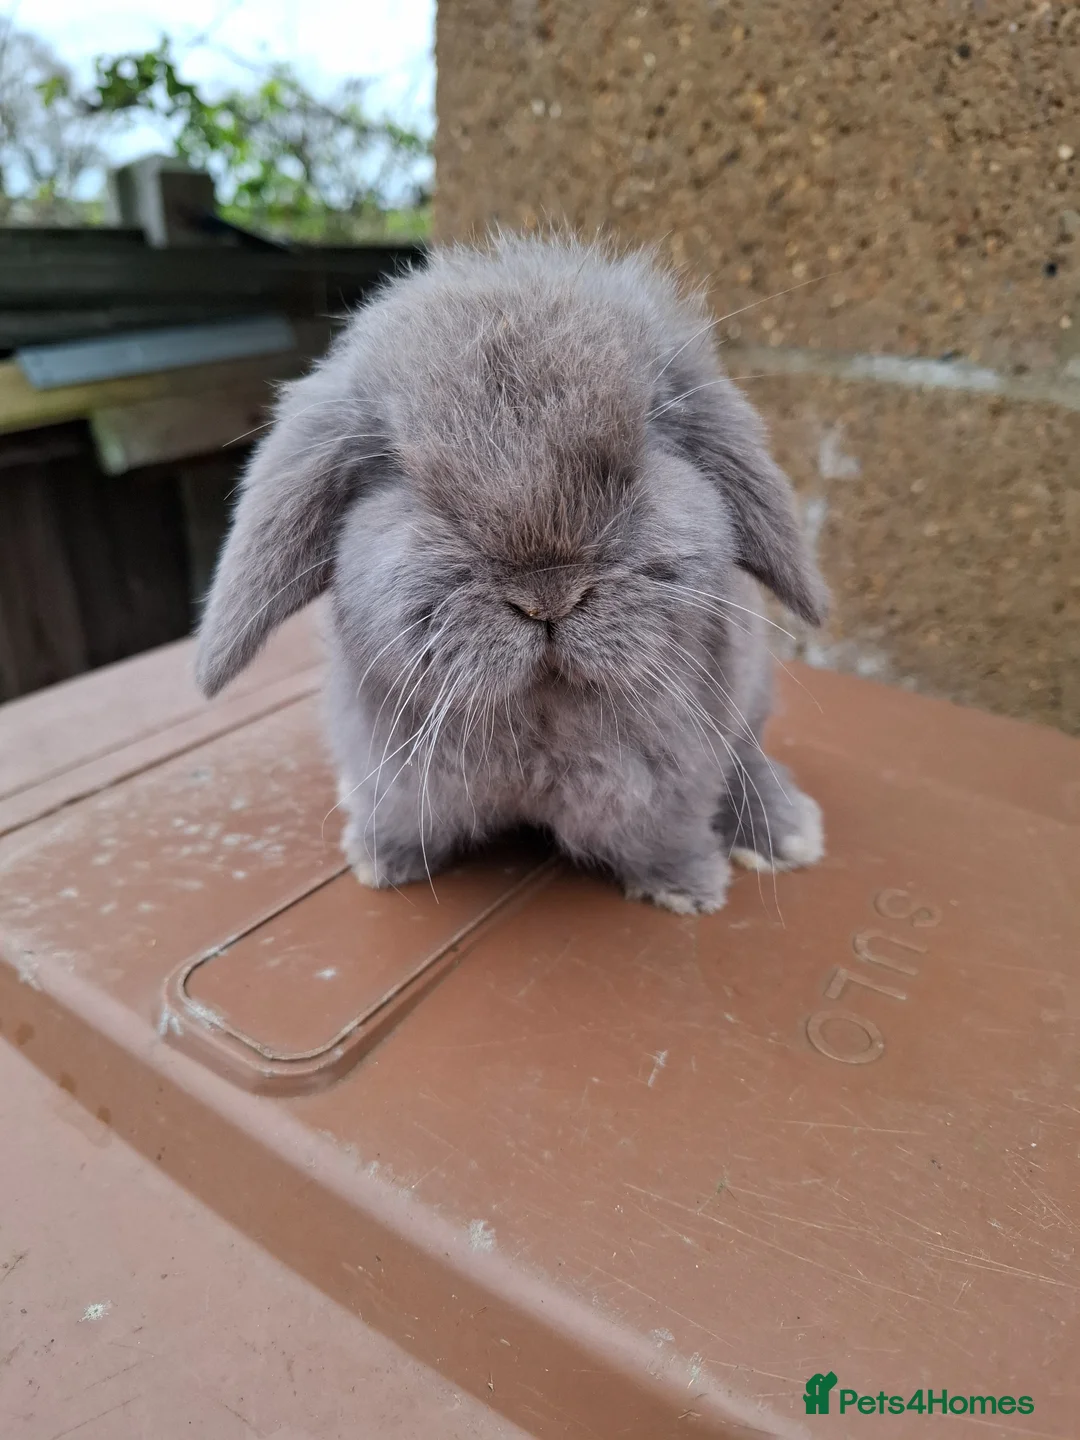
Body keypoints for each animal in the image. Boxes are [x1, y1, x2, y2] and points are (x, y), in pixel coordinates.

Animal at [195, 233, 828, 915]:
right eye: (399, 471)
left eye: (650, 435)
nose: (548, 594)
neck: (538, 719)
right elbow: (400, 820)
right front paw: (380, 862)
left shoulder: (672, 785)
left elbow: (666, 833)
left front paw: (689, 889)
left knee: (748, 759)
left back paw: (783, 834)